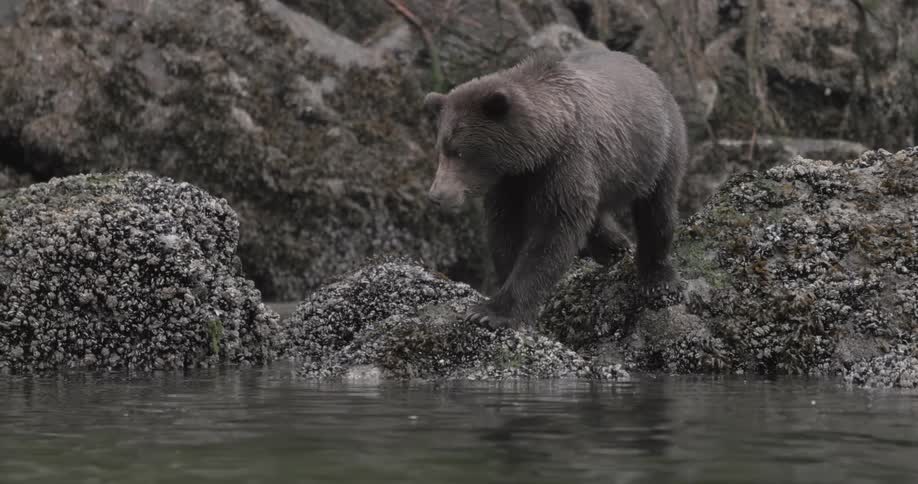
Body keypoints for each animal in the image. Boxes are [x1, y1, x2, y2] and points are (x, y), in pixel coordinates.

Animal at [423, 46, 688, 330]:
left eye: (459, 152)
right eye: (441, 150)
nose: (437, 195)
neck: (542, 147)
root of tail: (648, 71)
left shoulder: (566, 164)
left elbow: (550, 236)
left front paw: (491, 312)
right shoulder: (510, 183)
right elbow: (505, 232)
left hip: (658, 148)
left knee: (657, 209)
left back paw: (658, 277)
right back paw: (615, 246)